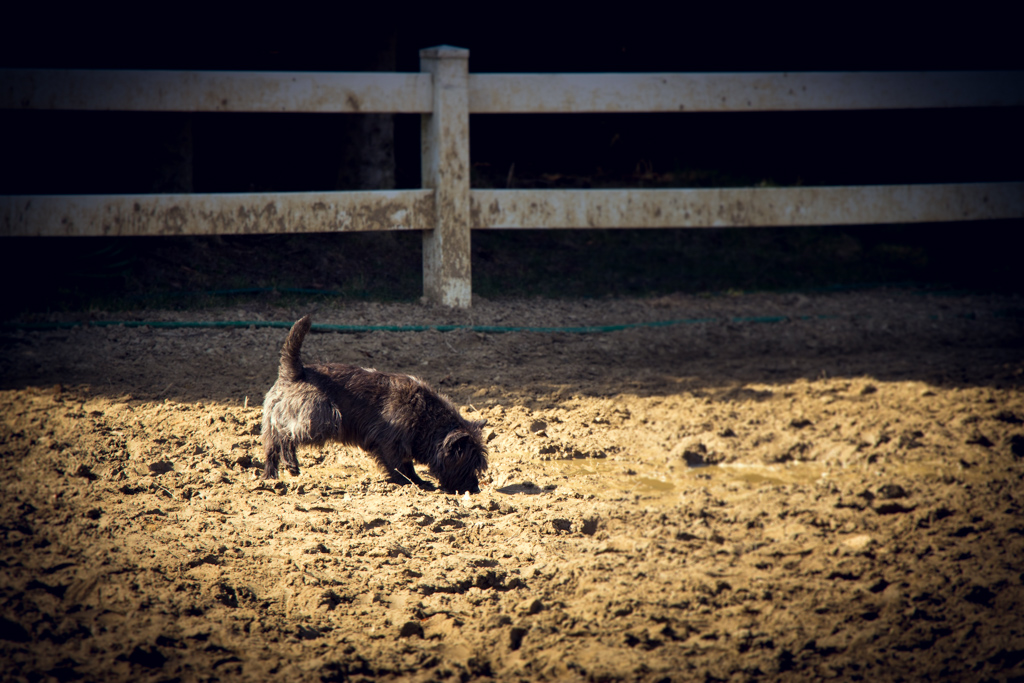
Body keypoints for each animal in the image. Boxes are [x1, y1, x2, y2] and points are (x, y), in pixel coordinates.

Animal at [262, 315, 489, 491]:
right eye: (469, 464)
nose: (475, 489)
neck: (427, 417)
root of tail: (295, 372)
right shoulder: (390, 443)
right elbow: (399, 466)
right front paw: (408, 484)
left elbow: (407, 465)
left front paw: (418, 482)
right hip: (321, 420)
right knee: (285, 437)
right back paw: (290, 464)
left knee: (271, 445)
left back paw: (271, 476)